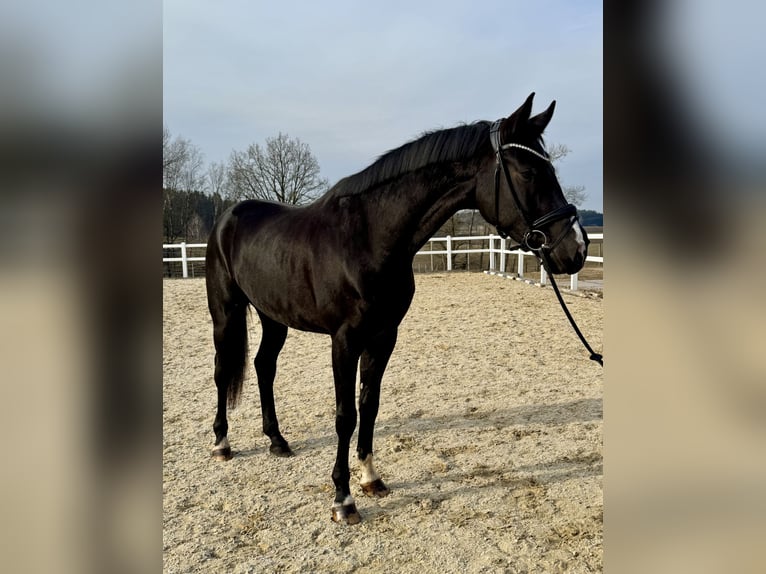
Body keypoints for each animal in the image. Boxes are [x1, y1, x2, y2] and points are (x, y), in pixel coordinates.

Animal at [204, 93, 588, 528]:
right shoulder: (344, 340)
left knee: (263, 366)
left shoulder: (384, 336)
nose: (577, 248)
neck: (368, 237)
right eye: (527, 171)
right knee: (223, 370)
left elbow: (369, 405)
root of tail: (228, 217)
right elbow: (345, 415)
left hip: (274, 317)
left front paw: (371, 479)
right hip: (225, 312)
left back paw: (277, 440)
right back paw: (222, 443)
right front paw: (343, 499)